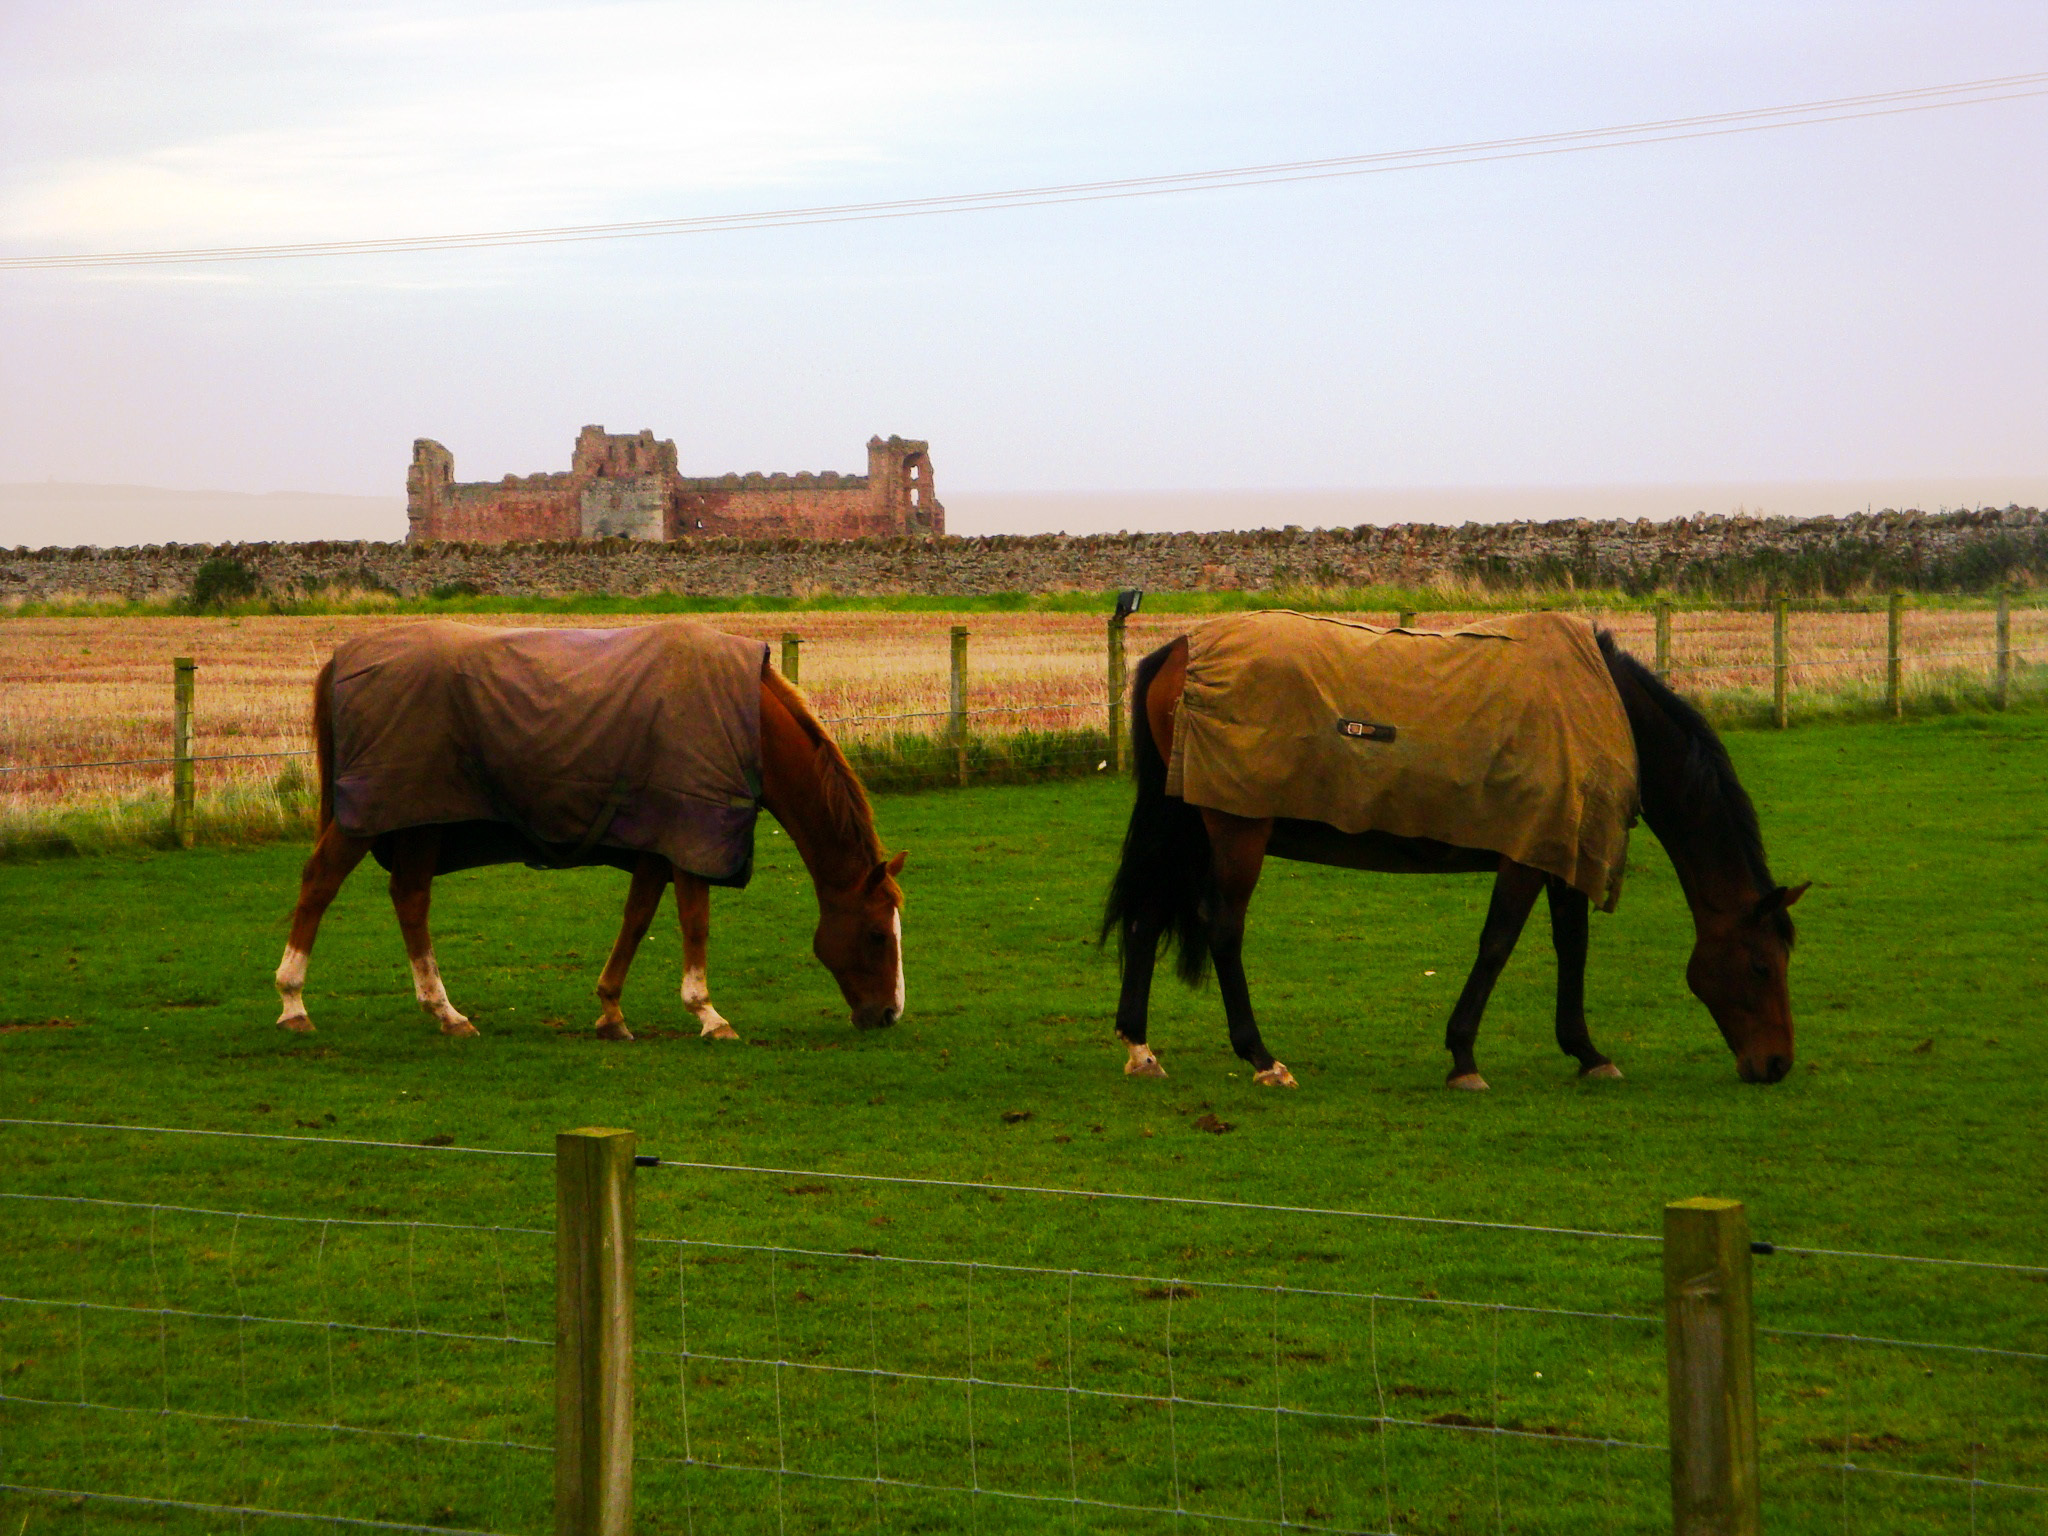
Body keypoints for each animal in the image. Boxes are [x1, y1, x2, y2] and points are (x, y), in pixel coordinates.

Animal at [272, 638, 905, 1048]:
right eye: (878, 935)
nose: (889, 1014)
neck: (746, 722)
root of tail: (341, 660)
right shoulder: (693, 833)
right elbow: (694, 924)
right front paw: (707, 1013)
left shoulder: (658, 845)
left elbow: (637, 919)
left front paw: (610, 1011)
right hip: (371, 820)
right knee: (319, 884)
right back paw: (293, 1001)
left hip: (422, 821)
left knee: (410, 900)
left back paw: (445, 1012)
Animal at [1105, 622, 1810, 1097]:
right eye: (1759, 966)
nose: (1776, 1065)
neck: (1600, 711)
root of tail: (1180, 650)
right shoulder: (1528, 856)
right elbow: (1497, 945)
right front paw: (1464, 1057)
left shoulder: (1563, 851)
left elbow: (1572, 946)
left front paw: (1586, 1051)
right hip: (1236, 830)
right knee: (1224, 930)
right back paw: (1260, 1057)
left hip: (1185, 825)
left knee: (1146, 916)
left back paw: (1141, 1049)